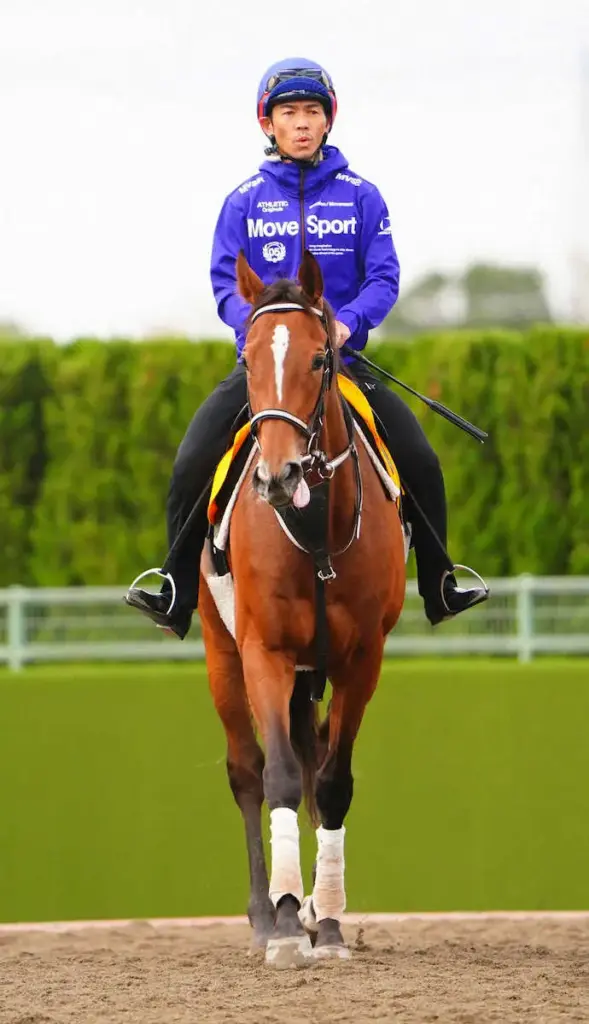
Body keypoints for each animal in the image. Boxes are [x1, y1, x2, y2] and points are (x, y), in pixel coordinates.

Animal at [198, 250, 407, 968]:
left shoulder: (361, 660)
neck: (314, 530)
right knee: (247, 772)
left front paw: (330, 923)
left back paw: (315, 909)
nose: (278, 476)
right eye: (250, 359)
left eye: (319, 358)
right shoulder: (266, 651)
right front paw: (288, 926)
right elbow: (282, 777)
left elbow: (333, 782)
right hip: (222, 652)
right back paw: (268, 916)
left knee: (314, 760)